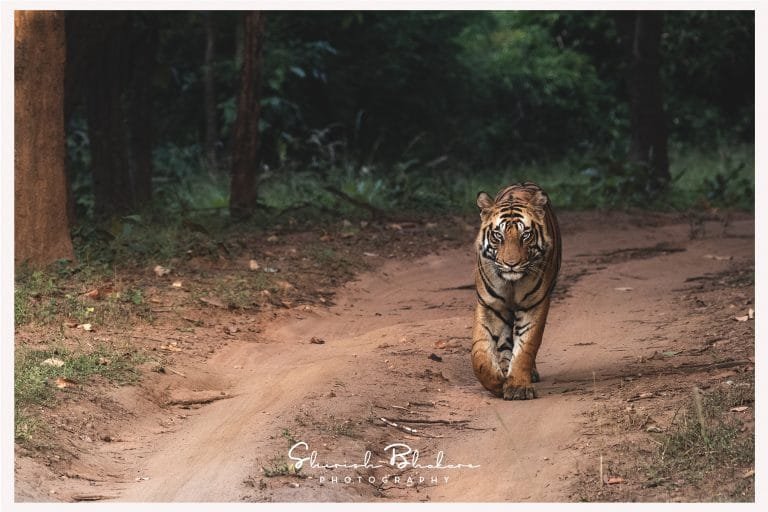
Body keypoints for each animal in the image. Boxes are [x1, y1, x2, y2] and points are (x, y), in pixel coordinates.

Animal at [471, 181, 562, 400]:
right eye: (498, 236)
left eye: (525, 235)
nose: (511, 264)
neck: (510, 283)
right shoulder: (490, 305)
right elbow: (479, 355)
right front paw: (497, 382)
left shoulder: (534, 305)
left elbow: (525, 349)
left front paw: (518, 386)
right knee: (505, 342)